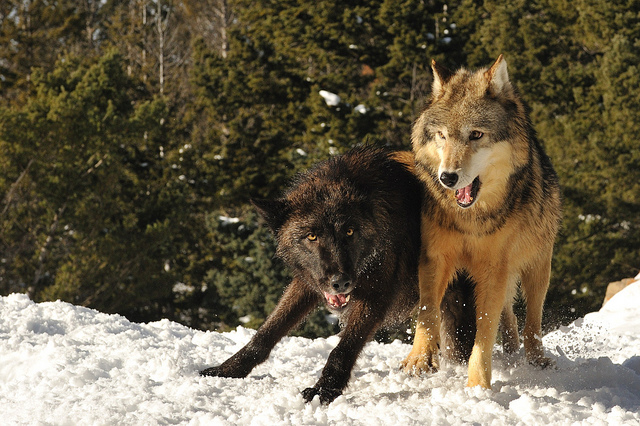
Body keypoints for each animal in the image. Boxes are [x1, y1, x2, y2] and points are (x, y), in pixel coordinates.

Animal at [401, 55, 562, 390]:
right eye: (442, 136)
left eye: (475, 134)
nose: (447, 178)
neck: (469, 220)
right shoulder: (434, 257)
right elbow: (427, 310)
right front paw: (419, 358)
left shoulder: (493, 269)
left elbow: (484, 332)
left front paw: (477, 386)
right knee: (510, 316)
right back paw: (512, 353)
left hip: (537, 269)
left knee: (532, 322)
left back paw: (535, 360)